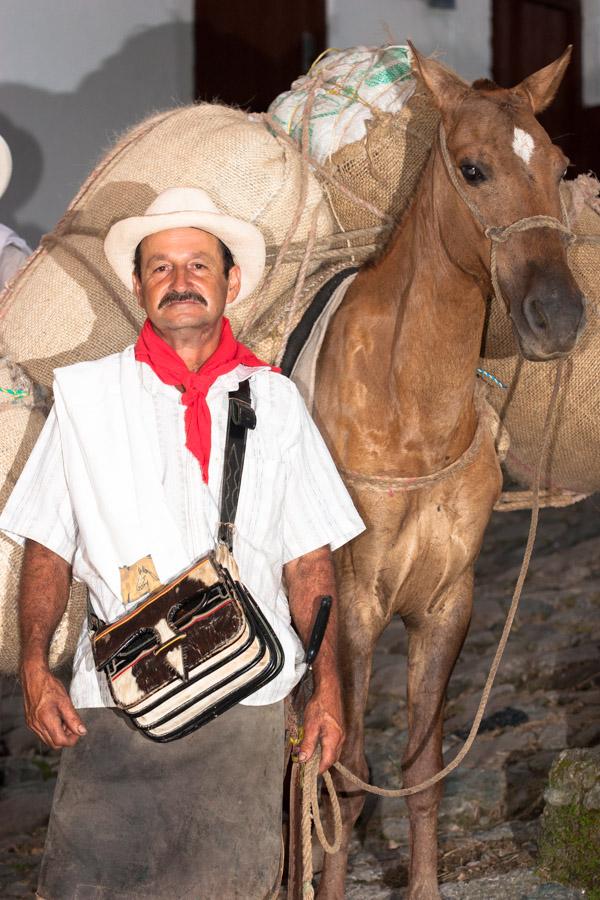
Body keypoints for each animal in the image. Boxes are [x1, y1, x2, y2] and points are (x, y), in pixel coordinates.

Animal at [312, 45, 584, 896]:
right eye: (472, 168)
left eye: (561, 165)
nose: (560, 318)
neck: (412, 416)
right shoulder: (353, 606)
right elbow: (346, 772)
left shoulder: (445, 604)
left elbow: (422, 768)